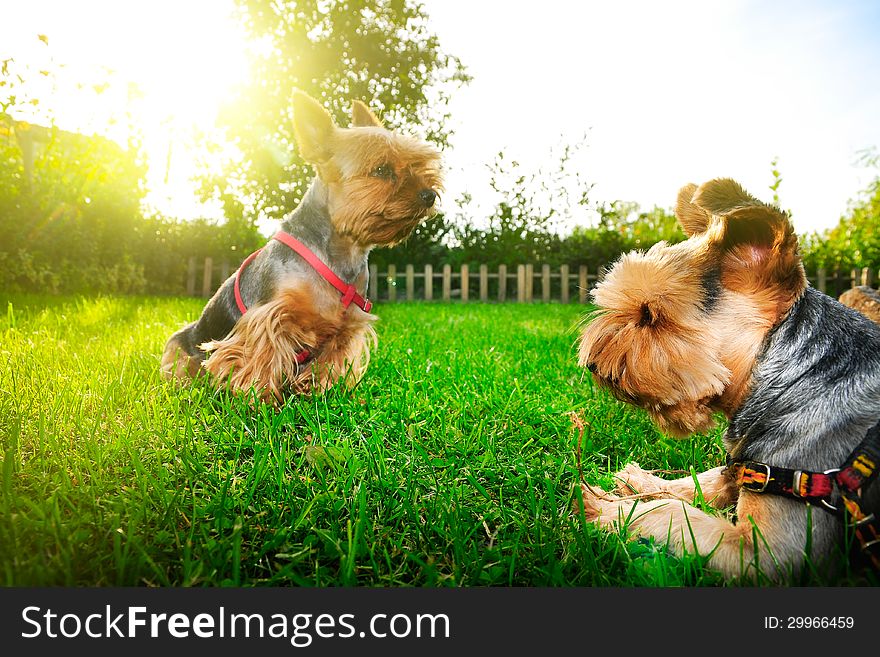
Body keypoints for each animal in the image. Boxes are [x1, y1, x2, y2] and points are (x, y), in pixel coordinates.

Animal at [576, 178, 880, 580]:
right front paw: (641, 482)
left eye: (650, 315)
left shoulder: (770, 553)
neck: (792, 379)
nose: (592, 365)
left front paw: (606, 507)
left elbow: (676, 513)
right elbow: (701, 480)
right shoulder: (750, 470)